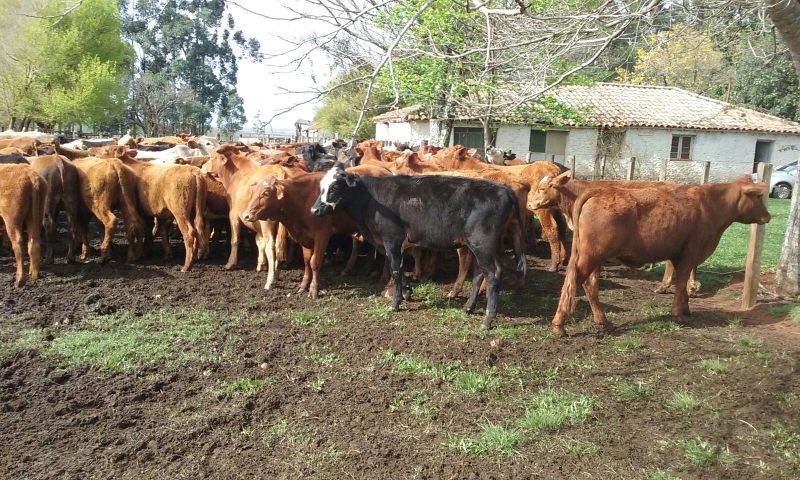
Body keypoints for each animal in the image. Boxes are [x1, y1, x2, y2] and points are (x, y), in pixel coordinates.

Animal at [544, 176, 768, 338]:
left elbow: (683, 285)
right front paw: (678, 314)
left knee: (589, 285)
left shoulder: (680, 256)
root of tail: (597, 191)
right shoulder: (689, 255)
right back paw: (559, 326)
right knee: (574, 282)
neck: (711, 204)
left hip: (592, 258)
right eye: (758, 197)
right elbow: (681, 283)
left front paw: (686, 308)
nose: (768, 216)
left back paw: (603, 321)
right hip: (591, 256)